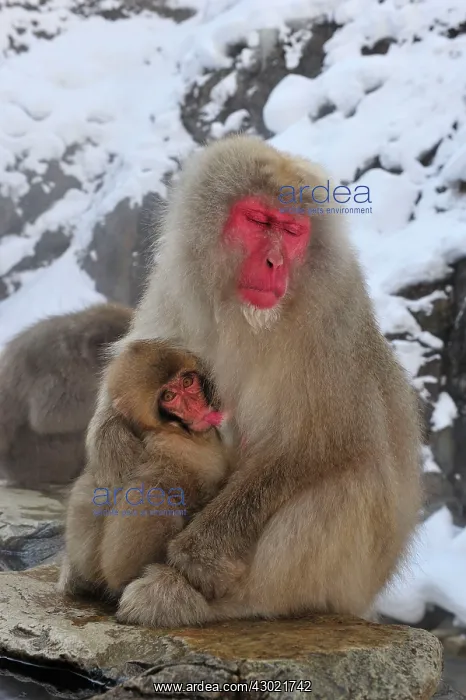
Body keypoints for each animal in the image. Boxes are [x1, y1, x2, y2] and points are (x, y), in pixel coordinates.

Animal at [58, 339, 229, 599]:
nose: (194, 407)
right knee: (150, 495)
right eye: (169, 396)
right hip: (112, 568)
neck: (174, 430)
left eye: (187, 382)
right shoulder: (172, 446)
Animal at [86, 134, 422, 628]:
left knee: (351, 479)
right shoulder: (174, 286)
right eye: (259, 220)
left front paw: (197, 555)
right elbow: (131, 378)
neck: (243, 317)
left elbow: (317, 445)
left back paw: (212, 601)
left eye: (292, 231)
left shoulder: (333, 326)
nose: (274, 262)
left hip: (349, 580)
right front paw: (112, 442)